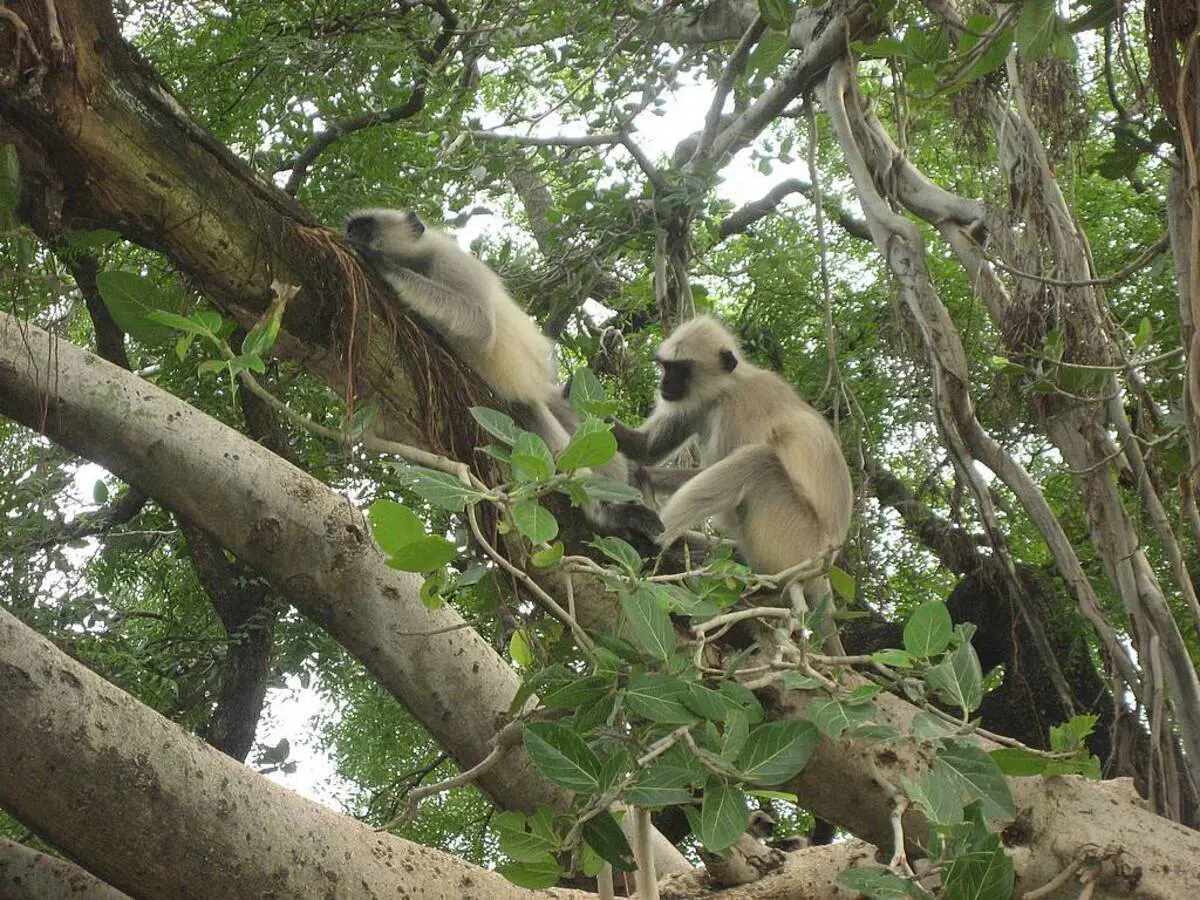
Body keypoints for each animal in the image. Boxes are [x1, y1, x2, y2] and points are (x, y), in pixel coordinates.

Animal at [343, 210, 662, 542]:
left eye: (363, 229)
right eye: (351, 228)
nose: (348, 235)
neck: (416, 260)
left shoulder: (449, 260)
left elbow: (481, 325)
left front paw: (381, 263)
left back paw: (605, 511)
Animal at [609, 316, 854, 643]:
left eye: (681, 369)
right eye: (666, 367)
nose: (664, 384)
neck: (726, 387)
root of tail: (824, 568)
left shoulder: (737, 408)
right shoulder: (698, 405)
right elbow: (644, 449)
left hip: (796, 539)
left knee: (756, 461)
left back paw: (656, 537)